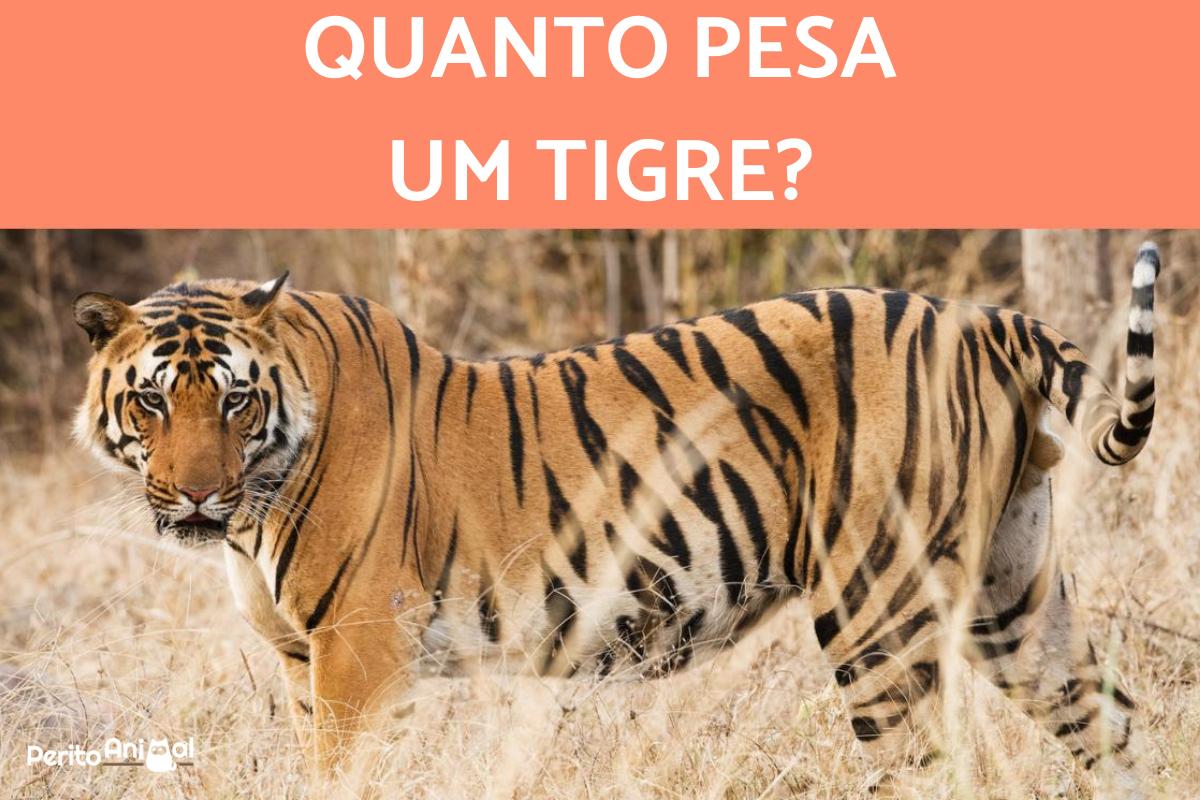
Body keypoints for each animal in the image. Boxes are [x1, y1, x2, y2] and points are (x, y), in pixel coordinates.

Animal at [72, 242, 1162, 797]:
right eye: (153, 402)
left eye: (234, 401)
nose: (197, 496)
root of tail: (980, 319)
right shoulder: (305, 659)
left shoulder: (358, 650)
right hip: (1014, 592)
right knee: (1108, 719)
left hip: (876, 608)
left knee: (926, 766)